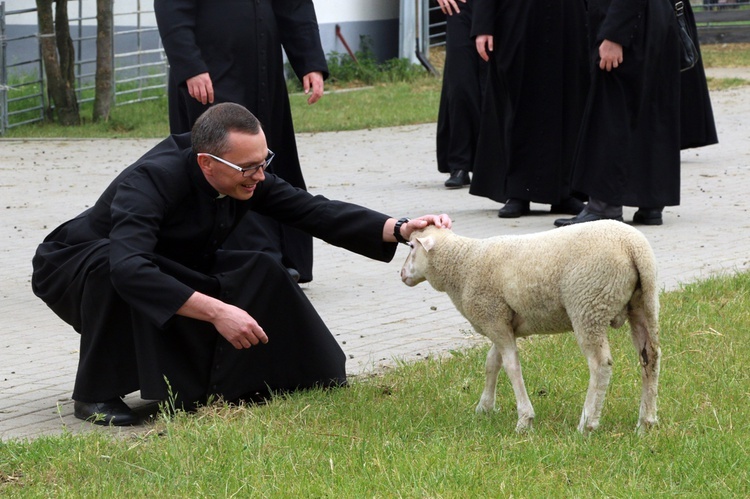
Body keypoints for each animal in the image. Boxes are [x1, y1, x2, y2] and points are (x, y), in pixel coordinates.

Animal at [402, 221, 660, 436]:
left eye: (412, 246)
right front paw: (484, 408)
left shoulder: (494, 317)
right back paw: (645, 422)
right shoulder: (501, 323)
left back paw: (587, 424)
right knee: (650, 358)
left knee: (600, 365)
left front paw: (524, 420)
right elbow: (492, 363)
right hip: (643, 303)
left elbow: (512, 366)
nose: (402, 274)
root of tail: (633, 247)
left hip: (588, 306)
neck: (462, 264)